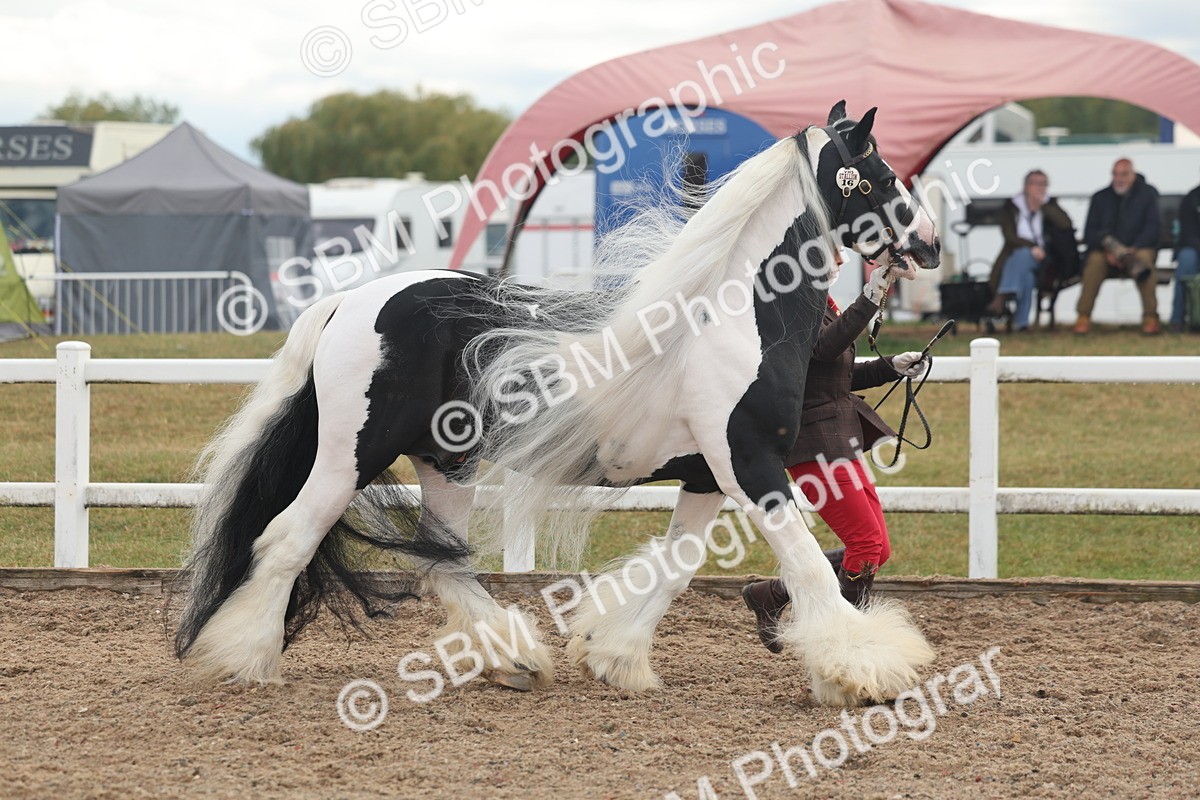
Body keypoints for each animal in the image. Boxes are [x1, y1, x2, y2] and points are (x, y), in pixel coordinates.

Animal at [175, 101, 941, 707]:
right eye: (881, 178)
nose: (930, 245)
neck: (726, 318)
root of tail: (349, 302)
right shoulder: (750, 464)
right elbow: (807, 564)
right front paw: (865, 672)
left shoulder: (705, 476)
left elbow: (676, 567)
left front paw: (615, 657)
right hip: (350, 456)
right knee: (287, 539)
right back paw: (249, 660)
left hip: (445, 463)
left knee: (440, 560)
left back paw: (515, 660)